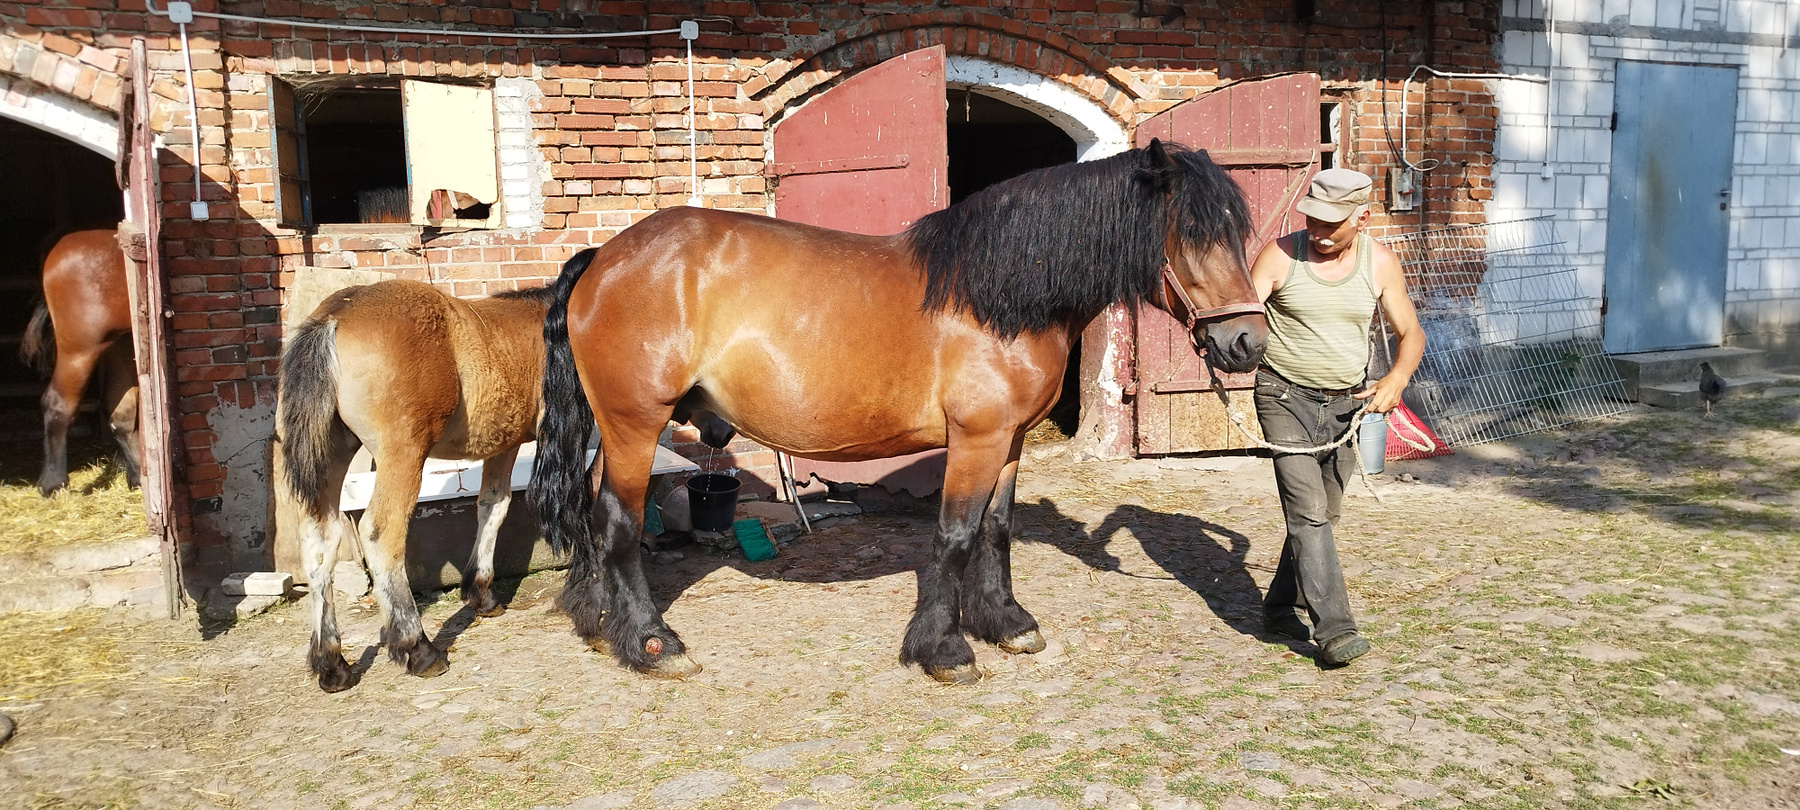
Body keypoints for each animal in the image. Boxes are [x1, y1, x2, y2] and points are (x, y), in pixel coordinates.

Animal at [278, 279, 557, 692]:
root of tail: (334, 314)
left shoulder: (504, 443)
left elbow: (493, 505)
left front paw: (482, 595)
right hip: (403, 453)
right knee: (381, 533)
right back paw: (418, 649)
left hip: (332, 454)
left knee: (319, 544)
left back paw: (332, 664)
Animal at [530, 139, 1267, 684]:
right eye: (1192, 232)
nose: (1247, 343)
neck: (997, 296)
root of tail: (604, 259)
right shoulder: (975, 439)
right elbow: (956, 535)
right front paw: (945, 649)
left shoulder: (1010, 441)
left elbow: (997, 530)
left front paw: (1007, 624)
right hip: (634, 426)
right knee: (619, 524)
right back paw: (654, 644)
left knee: (596, 519)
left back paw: (600, 622)